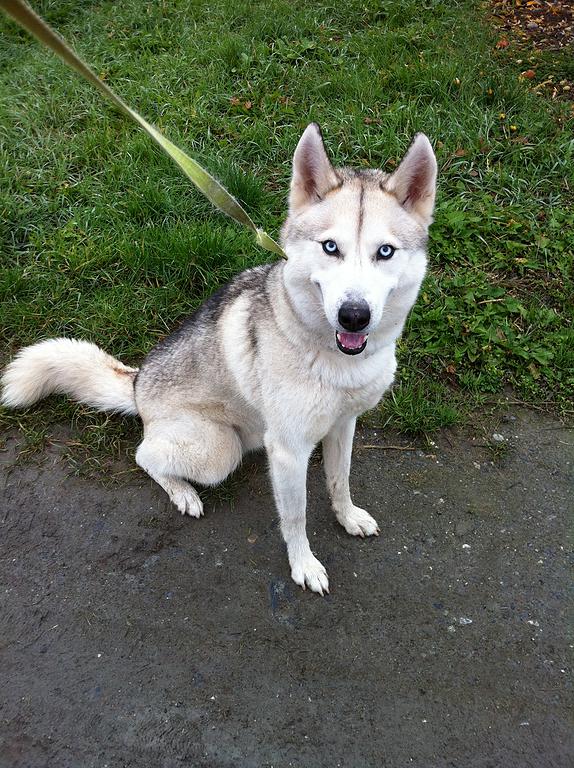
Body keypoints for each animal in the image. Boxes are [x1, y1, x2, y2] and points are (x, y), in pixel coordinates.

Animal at [2, 124, 438, 592]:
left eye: (385, 251)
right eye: (330, 247)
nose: (354, 315)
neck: (333, 357)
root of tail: (138, 383)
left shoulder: (343, 425)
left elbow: (340, 481)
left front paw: (348, 517)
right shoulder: (288, 451)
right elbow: (295, 517)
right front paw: (303, 565)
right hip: (218, 450)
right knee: (144, 455)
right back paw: (183, 492)